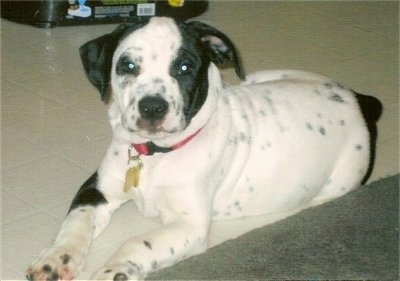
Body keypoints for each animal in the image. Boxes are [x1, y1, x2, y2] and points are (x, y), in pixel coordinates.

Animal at [26, 16, 382, 278]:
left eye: (185, 68)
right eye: (127, 66)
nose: (152, 108)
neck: (155, 155)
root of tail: (357, 99)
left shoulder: (189, 224)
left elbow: (137, 242)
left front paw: (114, 270)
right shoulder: (97, 188)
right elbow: (75, 223)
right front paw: (56, 259)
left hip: (339, 183)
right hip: (260, 76)